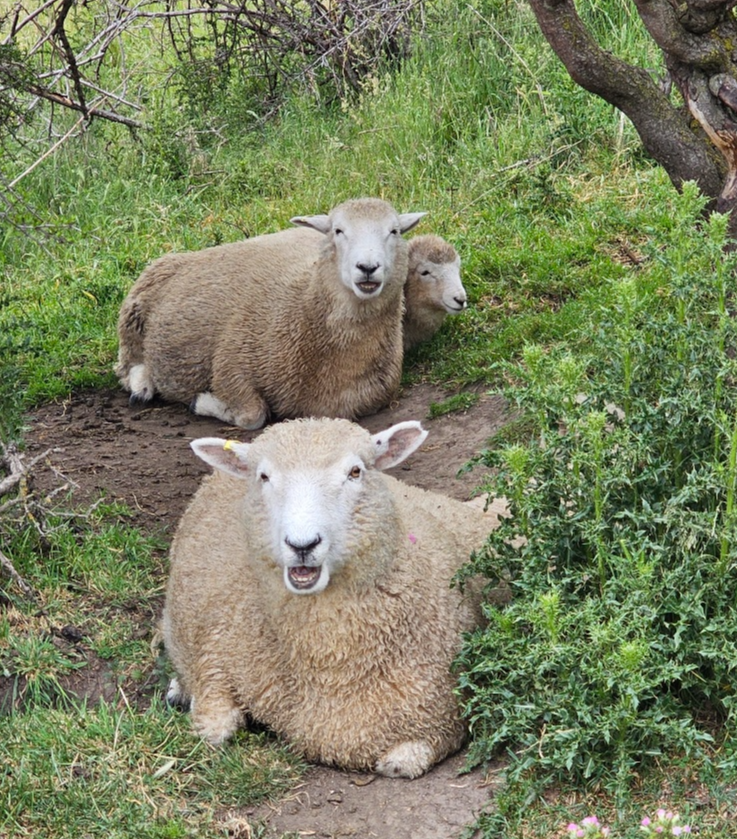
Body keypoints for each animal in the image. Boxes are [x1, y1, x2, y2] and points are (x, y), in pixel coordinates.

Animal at [115, 199, 426, 430]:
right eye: (338, 230)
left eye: (394, 231)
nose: (367, 267)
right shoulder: (231, 362)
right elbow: (253, 415)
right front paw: (201, 402)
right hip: (135, 311)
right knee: (129, 363)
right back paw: (142, 387)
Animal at [158, 416, 498, 776]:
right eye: (263, 476)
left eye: (355, 472)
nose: (302, 545)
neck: (332, 667)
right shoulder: (218, 648)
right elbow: (215, 727)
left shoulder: (442, 716)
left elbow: (404, 761)